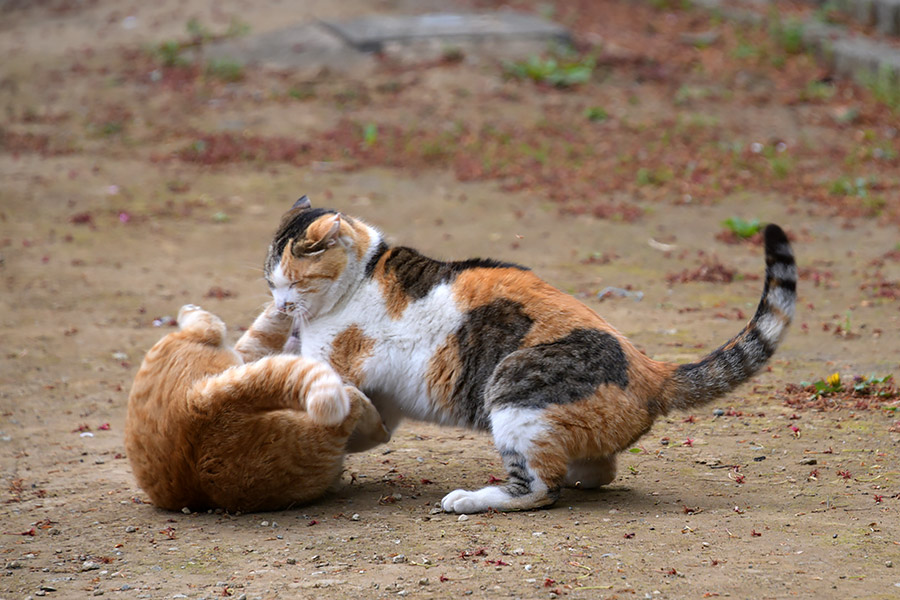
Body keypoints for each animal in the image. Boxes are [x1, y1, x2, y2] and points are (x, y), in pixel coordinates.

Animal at [264, 196, 800, 510]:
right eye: (270, 283)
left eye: (290, 281)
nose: (281, 305)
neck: (362, 275)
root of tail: (652, 370)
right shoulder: (384, 396)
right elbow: (368, 424)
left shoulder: (335, 365)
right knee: (597, 470)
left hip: (513, 391)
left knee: (539, 490)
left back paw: (471, 499)